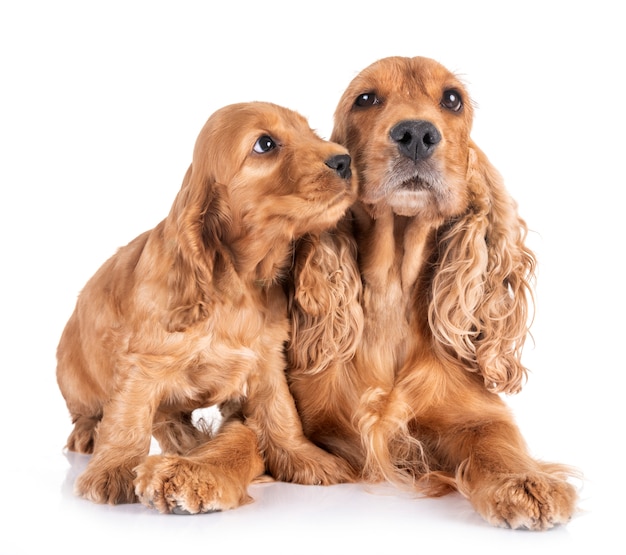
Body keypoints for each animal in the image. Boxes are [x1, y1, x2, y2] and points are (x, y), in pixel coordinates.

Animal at [54, 101, 356, 512]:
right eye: (265, 144)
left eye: (311, 132)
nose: (345, 160)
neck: (239, 283)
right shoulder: (143, 363)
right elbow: (128, 417)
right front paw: (113, 470)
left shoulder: (267, 360)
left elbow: (280, 411)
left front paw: (304, 457)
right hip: (75, 377)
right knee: (93, 412)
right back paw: (91, 434)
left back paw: (189, 441)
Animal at [286, 56, 576, 528]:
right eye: (365, 98)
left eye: (452, 99)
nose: (417, 134)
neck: (392, 292)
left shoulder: (480, 413)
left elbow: (497, 442)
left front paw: (524, 483)